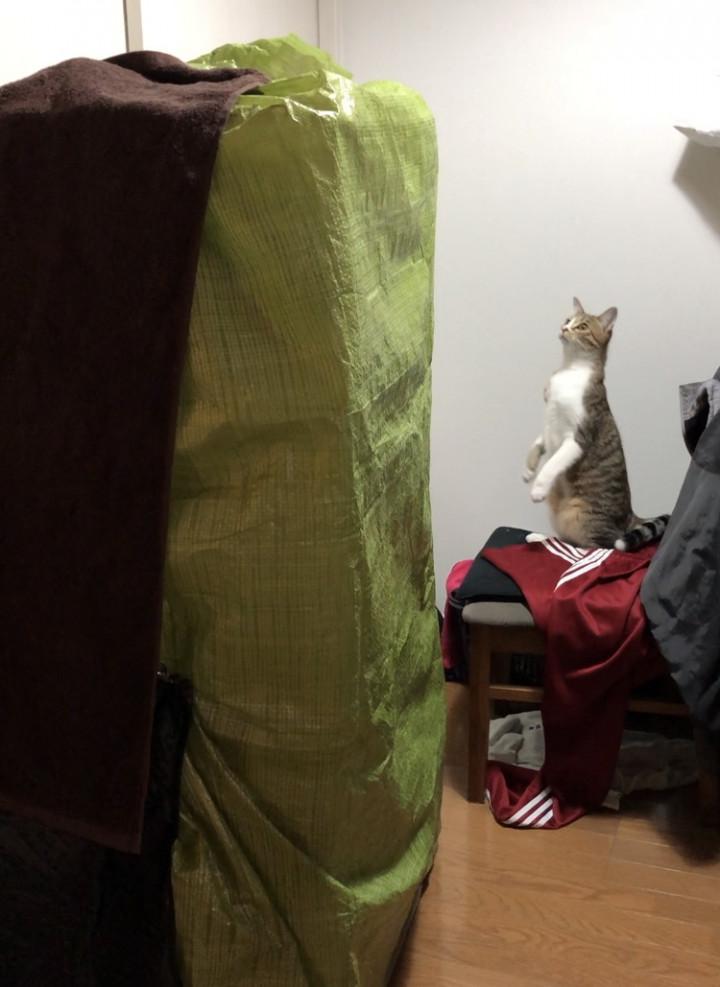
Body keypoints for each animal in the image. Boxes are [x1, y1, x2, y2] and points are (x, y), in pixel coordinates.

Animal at [522, 298, 668, 550]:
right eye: (567, 319)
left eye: (581, 327)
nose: (564, 328)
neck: (569, 370)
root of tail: (631, 516)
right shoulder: (549, 423)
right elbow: (539, 442)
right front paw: (529, 468)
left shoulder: (578, 436)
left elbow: (552, 463)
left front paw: (538, 487)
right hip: (560, 514)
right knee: (566, 539)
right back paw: (539, 538)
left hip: (581, 517)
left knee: (594, 546)